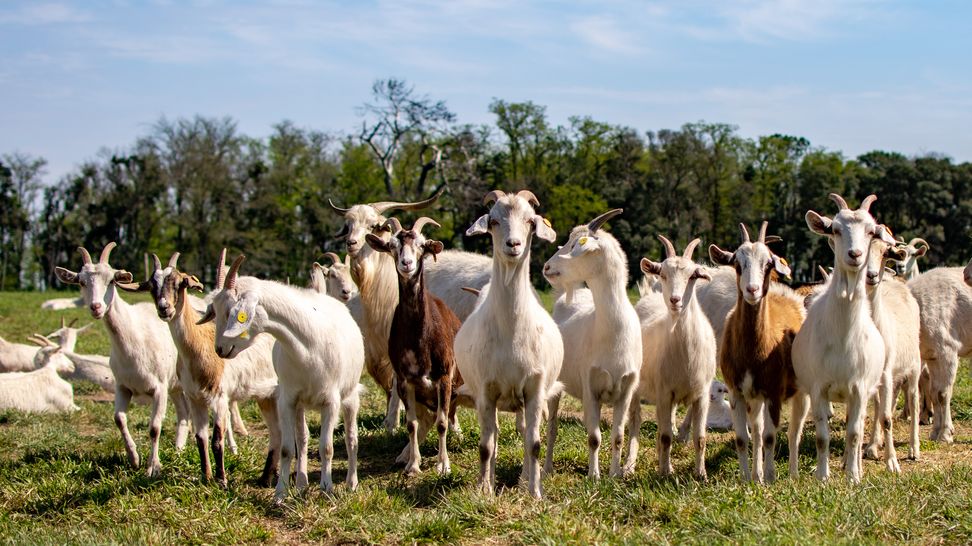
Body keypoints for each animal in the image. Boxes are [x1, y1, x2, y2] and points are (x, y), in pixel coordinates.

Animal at [55, 243, 190, 476]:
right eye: (81, 282)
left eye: (111, 280)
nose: (96, 307)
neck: (134, 339)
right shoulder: (123, 385)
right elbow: (118, 419)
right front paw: (134, 459)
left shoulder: (159, 387)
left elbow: (155, 427)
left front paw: (153, 467)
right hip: (175, 386)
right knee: (183, 414)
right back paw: (179, 450)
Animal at [454, 189, 563, 499]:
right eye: (492, 221)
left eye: (530, 221)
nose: (513, 245)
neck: (512, 332)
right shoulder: (485, 391)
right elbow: (485, 446)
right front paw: (485, 490)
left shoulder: (534, 389)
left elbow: (534, 444)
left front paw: (534, 492)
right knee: (494, 437)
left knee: (526, 432)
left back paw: (525, 478)